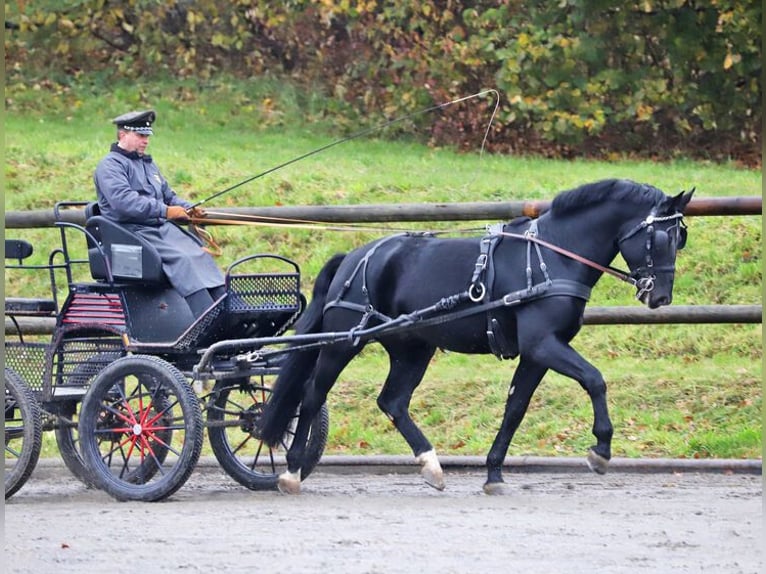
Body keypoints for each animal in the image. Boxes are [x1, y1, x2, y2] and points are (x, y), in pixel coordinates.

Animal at [259, 178, 694, 494]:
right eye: (661, 238)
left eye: (680, 238)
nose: (660, 296)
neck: (555, 254)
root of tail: (354, 256)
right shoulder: (544, 345)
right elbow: (594, 380)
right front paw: (601, 449)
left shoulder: (536, 354)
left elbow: (515, 408)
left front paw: (494, 473)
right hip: (343, 341)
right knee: (313, 394)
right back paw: (292, 471)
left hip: (413, 347)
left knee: (392, 401)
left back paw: (431, 464)